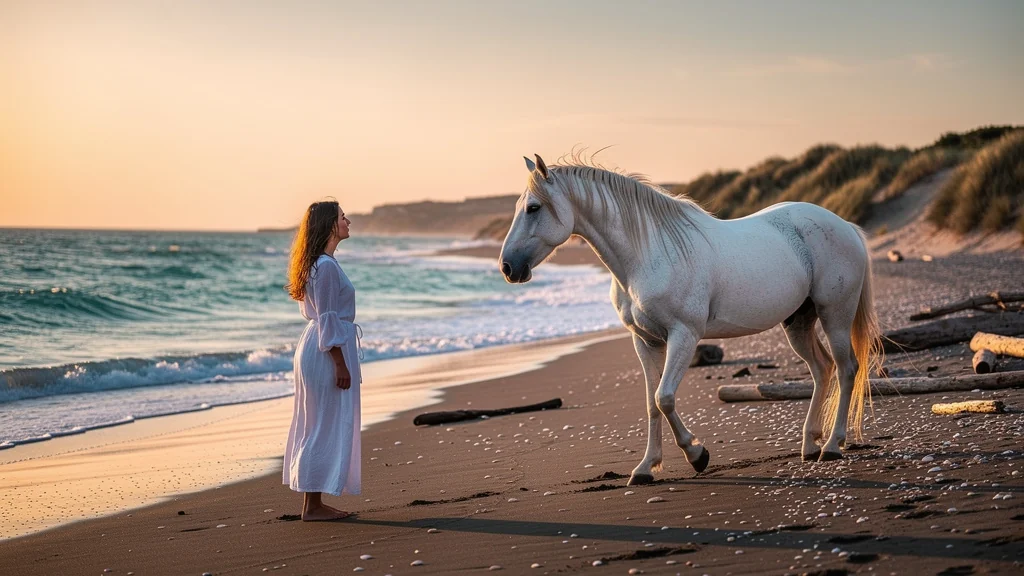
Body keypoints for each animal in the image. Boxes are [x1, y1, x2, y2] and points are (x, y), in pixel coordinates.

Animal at [499, 154, 883, 486]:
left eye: (533, 208)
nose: (507, 267)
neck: (648, 254)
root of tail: (845, 225)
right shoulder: (645, 341)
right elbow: (651, 403)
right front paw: (645, 469)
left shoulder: (684, 335)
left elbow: (664, 398)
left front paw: (697, 455)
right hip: (798, 323)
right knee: (822, 369)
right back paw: (809, 445)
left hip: (835, 315)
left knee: (846, 369)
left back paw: (831, 446)